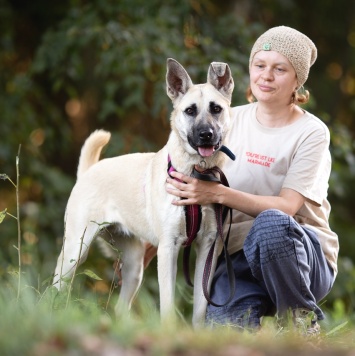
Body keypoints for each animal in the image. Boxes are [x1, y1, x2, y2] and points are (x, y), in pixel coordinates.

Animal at [53, 58, 234, 328]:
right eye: (190, 111)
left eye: (216, 109)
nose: (206, 135)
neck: (195, 173)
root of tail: (88, 171)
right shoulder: (168, 249)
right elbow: (167, 304)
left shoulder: (208, 247)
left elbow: (201, 307)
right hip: (75, 250)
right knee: (55, 287)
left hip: (134, 266)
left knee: (120, 307)